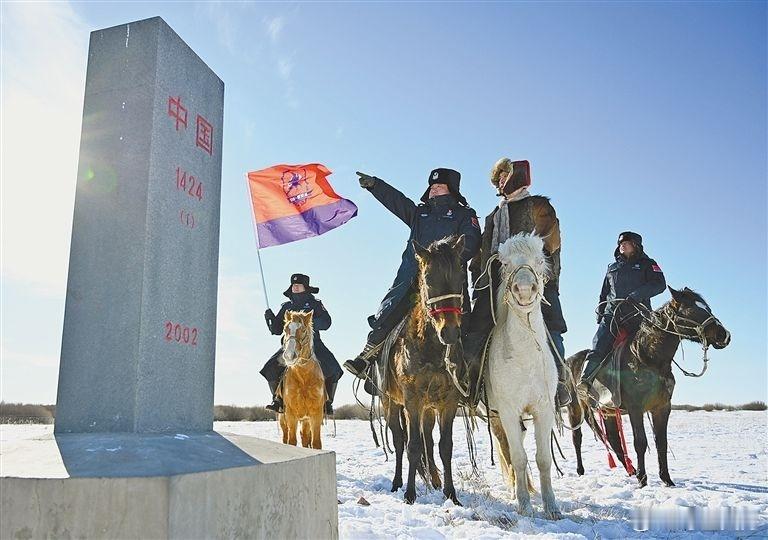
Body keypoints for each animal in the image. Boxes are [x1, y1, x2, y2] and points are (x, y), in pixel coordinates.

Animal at [278, 310, 326, 450]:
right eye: (285, 329)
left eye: (303, 330)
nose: (289, 356)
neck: (303, 376)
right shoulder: (290, 414)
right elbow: (291, 441)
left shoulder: (316, 414)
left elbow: (316, 443)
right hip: (282, 417)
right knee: (285, 436)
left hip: (305, 420)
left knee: (304, 438)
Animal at [380, 234, 468, 504]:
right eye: (428, 280)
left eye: (461, 278)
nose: (449, 332)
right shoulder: (412, 400)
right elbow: (412, 446)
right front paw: (410, 494)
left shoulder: (448, 401)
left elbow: (444, 446)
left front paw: (451, 494)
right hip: (390, 403)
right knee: (399, 441)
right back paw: (397, 483)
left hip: (429, 408)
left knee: (428, 439)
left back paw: (435, 480)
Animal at [484, 233, 560, 520]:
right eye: (504, 264)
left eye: (539, 260)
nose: (525, 289)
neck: (525, 358)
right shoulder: (507, 410)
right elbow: (517, 457)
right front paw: (525, 506)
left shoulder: (544, 409)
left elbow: (543, 459)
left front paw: (551, 508)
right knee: (506, 447)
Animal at [568, 288, 732, 488]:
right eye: (693, 310)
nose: (724, 335)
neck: (648, 358)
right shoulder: (635, 408)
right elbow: (640, 442)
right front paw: (642, 479)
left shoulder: (662, 407)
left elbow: (661, 442)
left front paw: (666, 479)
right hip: (575, 408)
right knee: (577, 439)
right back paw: (581, 470)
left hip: (607, 411)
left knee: (614, 439)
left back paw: (630, 470)